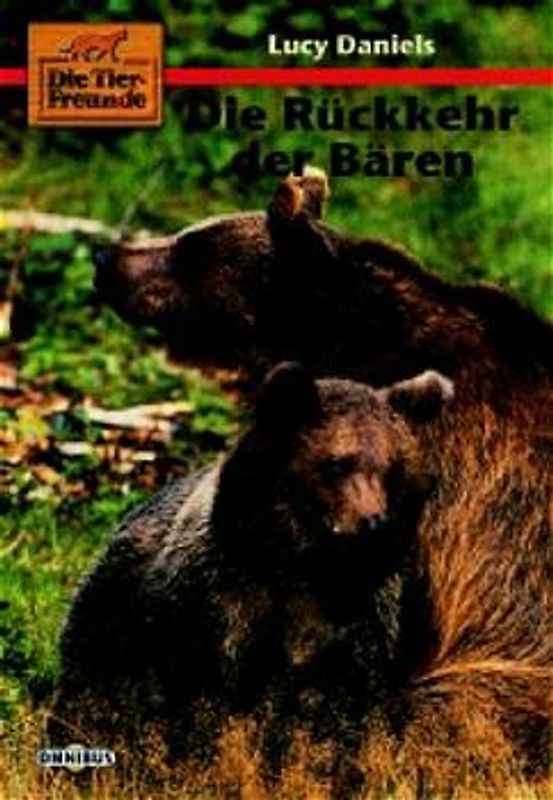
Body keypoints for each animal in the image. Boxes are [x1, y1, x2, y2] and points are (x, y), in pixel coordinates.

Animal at [51, 363, 453, 771]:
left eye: (392, 470)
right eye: (337, 463)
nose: (374, 523)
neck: (307, 564)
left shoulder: (362, 617)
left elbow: (345, 708)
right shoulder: (221, 601)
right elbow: (202, 700)